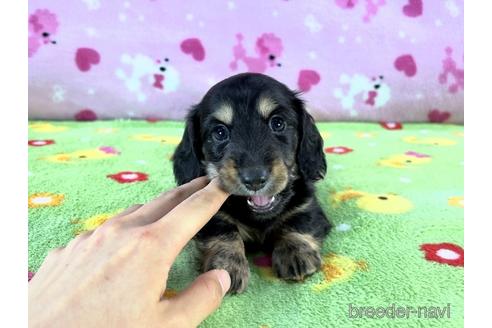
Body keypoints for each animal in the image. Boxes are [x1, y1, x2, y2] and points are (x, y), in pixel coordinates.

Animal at [172, 73, 330, 294]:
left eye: (278, 123)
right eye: (219, 132)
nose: (254, 179)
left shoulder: (308, 204)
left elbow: (298, 220)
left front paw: (295, 253)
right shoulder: (211, 217)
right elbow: (223, 230)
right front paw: (227, 265)